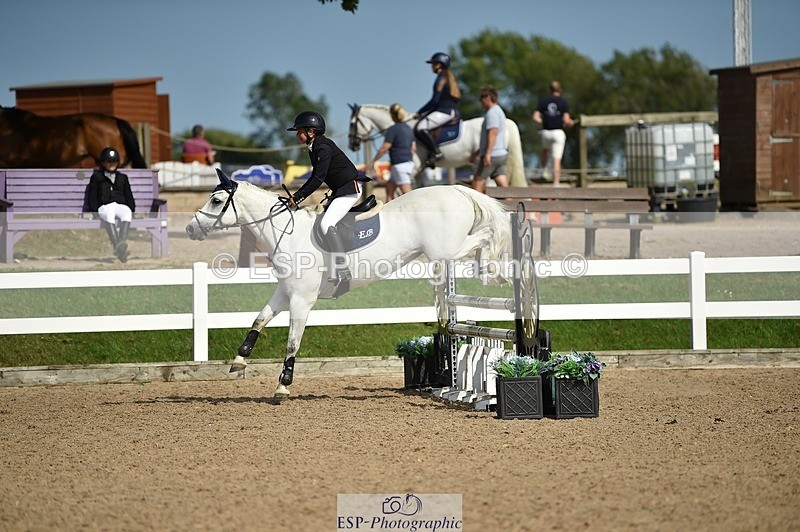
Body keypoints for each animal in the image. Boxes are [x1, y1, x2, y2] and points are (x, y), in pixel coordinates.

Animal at [185, 169, 511, 399]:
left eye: (216, 201)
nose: (190, 229)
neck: (286, 233)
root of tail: (455, 189)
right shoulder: (285, 292)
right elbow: (259, 319)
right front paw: (239, 359)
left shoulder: (302, 299)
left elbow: (292, 341)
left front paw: (283, 386)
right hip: (443, 254)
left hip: (445, 250)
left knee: (484, 238)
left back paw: (492, 267)